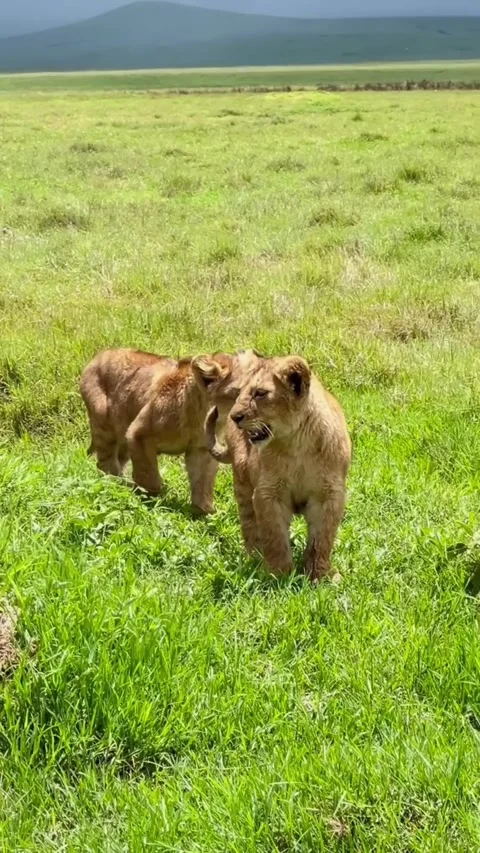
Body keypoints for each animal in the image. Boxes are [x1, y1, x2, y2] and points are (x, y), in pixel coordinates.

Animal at [80, 347, 261, 515]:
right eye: (239, 392)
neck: (199, 417)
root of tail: (98, 356)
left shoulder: (201, 449)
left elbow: (202, 483)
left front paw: (204, 514)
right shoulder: (138, 433)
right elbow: (149, 476)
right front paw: (151, 503)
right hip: (104, 426)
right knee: (106, 463)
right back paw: (117, 485)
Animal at [204, 355, 351, 579]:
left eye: (260, 393)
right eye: (240, 392)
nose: (234, 417)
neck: (297, 444)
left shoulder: (329, 494)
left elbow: (321, 540)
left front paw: (320, 576)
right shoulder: (269, 492)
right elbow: (275, 537)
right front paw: (279, 575)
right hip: (242, 482)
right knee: (249, 525)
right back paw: (255, 559)